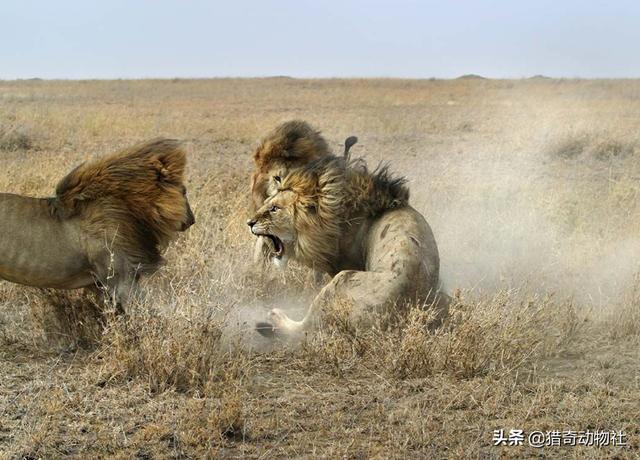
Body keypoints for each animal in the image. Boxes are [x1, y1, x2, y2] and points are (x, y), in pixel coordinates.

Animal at [248, 152, 448, 338]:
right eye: (266, 203)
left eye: (275, 209)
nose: (249, 222)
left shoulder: (342, 265)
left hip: (342, 280)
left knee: (305, 328)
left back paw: (274, 317)